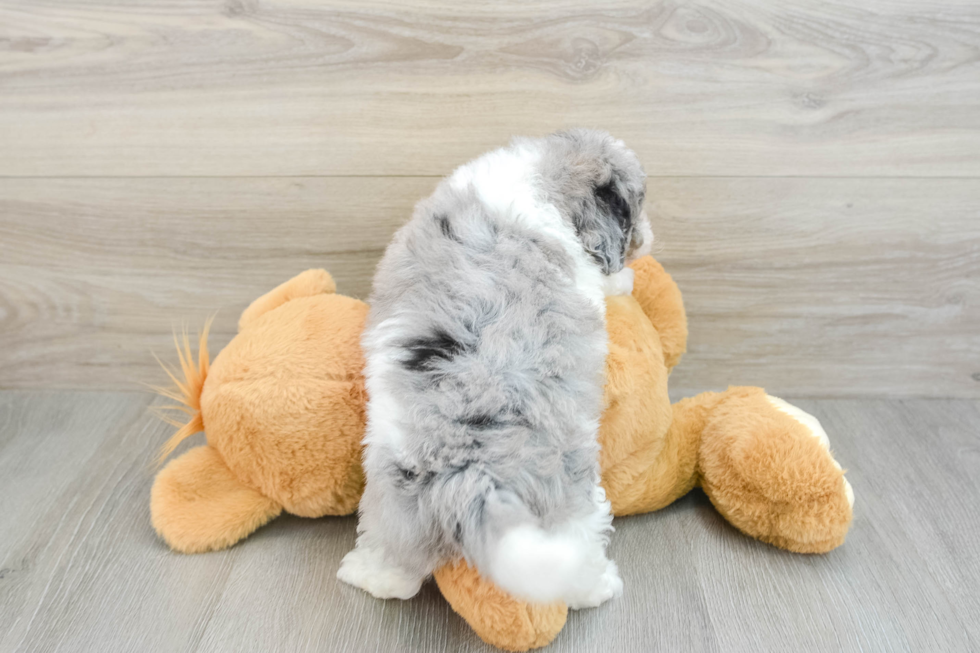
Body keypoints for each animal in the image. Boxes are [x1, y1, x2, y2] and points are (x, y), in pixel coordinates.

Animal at [336, 127, 652, 608]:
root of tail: (464, 467)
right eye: (636, 207)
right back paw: (597, 587)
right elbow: (606, 277)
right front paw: (624, 279)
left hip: (392, 490)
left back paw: (369, 575)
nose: (648, 237)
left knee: (394, 552)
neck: (546, 174)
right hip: (569, 494)